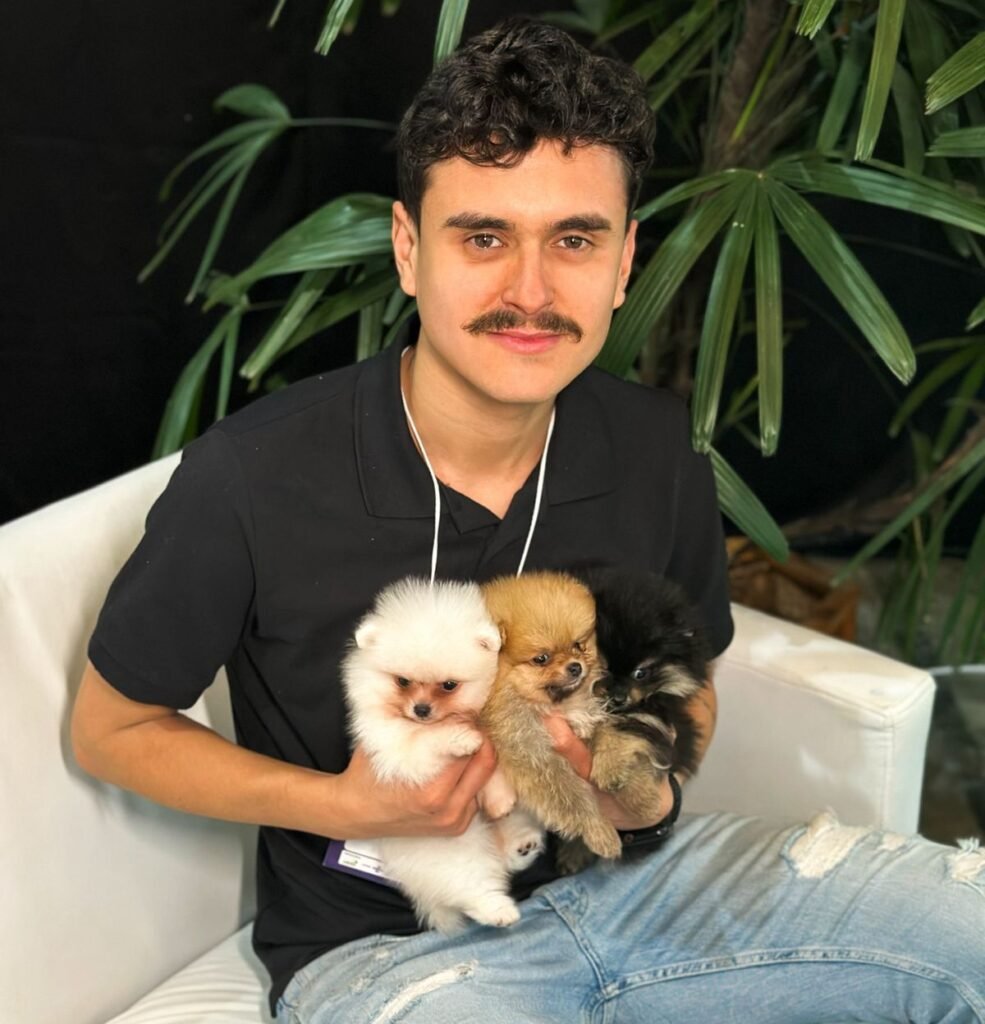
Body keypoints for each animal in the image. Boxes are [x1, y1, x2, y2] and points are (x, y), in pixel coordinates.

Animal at [341, 576, 546, 933]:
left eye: (449, 685)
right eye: (403, 681)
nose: (421, 709)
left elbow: (494, 768)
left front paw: (499, 797)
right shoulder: (399, 751)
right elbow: (429, 738)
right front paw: (463, 740)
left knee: (507, 857)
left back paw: (523, 845)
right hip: (455, 857)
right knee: (473, 890)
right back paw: (499, 911)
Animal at [478, 571, 623, 861]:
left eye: (578, 645)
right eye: (541, 659)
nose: (576, 667)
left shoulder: (589, 711)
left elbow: (606, 730)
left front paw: (612, 765)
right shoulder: (530, 750)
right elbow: (568, 793)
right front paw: (597, 828)